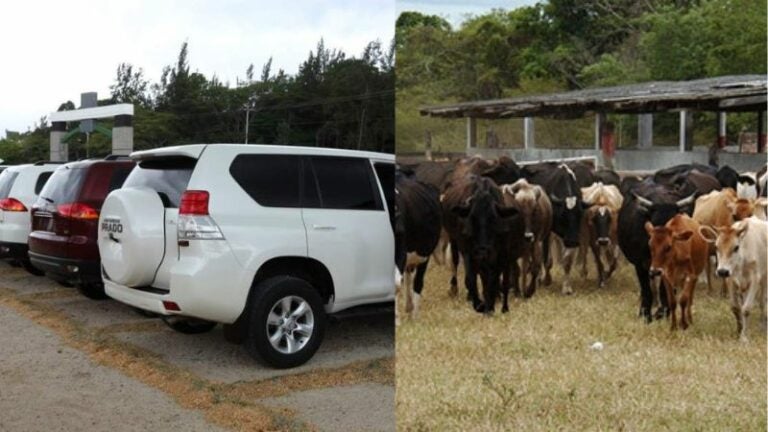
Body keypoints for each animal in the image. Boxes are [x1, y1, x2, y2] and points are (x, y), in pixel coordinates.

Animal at [392, 171, 440, 320]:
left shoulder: (401, 250)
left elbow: (396, 283)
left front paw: (397, 320)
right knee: (407, 277)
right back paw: (409, 306)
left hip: (424, 254)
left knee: (417, 282)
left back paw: (414, 315)